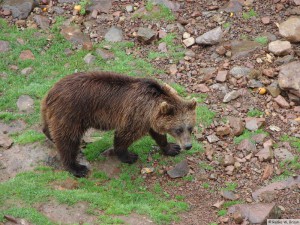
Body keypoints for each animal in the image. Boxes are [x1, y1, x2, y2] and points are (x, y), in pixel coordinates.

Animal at [41, 71, 197, 177]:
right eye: (178, 129)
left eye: (190, 128)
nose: (188, 146)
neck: (151, 106)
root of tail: (52, 92)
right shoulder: (136, 115)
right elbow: (124, 135)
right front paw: (129, 156)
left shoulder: (150, 120)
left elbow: (158, 134)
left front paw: (171, 148)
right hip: (72, 113)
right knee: (68, 139)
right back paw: (77, 167)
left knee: (49, 128)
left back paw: (50, 136)